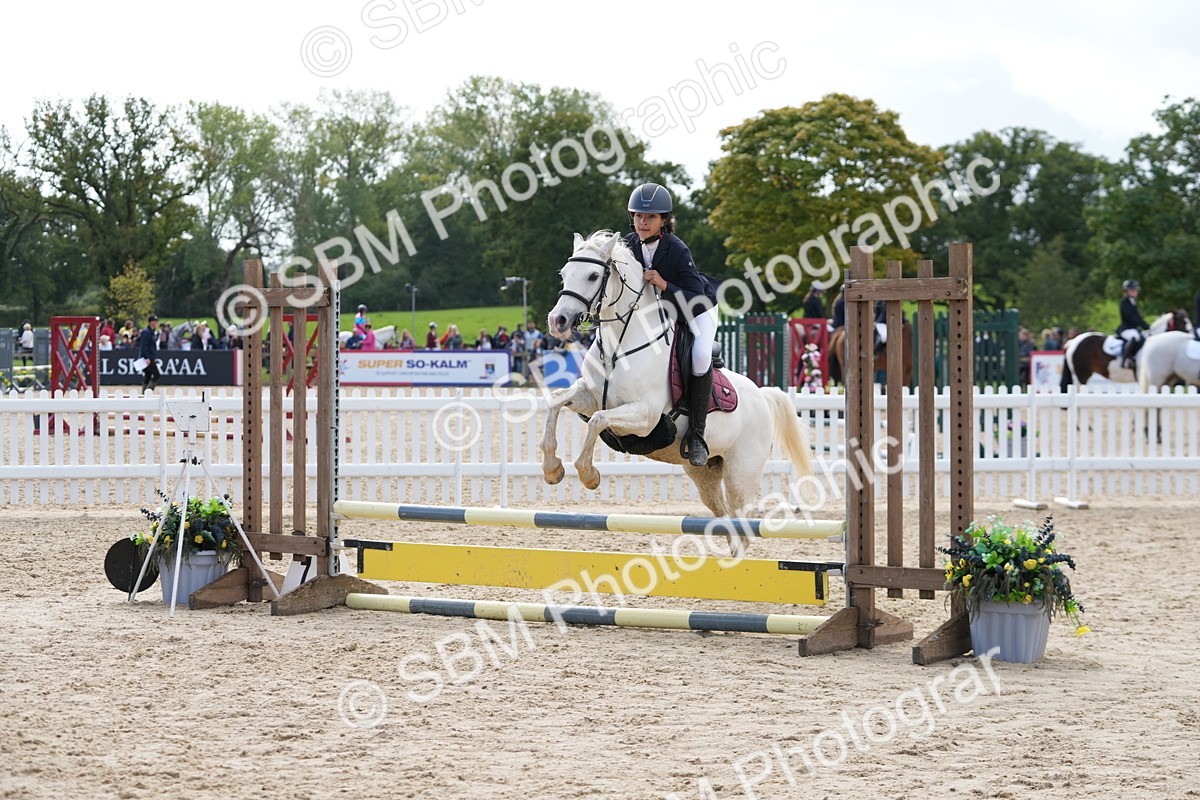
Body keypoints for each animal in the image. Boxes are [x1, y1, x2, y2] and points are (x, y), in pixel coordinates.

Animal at [540, 231, 816, 518]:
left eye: (593, 276)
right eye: (564, 274)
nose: (557, 321)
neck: (619, 347)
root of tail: (762, 395)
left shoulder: (645, 416)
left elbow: (597, 420)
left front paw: (589, 475)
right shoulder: (591, 398)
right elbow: (557, 400)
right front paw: (552, 469)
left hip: (741, 475)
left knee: (741, 514)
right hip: (705, 473)